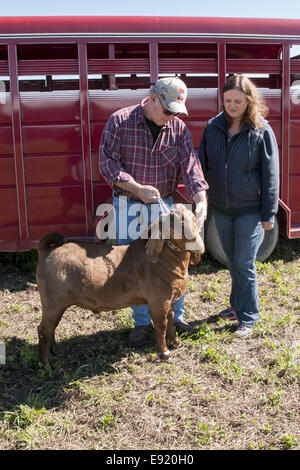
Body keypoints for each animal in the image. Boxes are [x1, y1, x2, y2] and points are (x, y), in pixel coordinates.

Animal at [35, 204, 204, 366]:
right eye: (176, 224)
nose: (196, 245)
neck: (164, 259)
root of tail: (46, 251)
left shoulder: (169, 298)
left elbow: (171, 319)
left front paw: (175, 342)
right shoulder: (158, 301)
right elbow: (161, 325)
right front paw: (164, 353)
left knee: (51, 328)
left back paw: (54, 349)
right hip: (53, 301)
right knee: (44, 330)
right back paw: (44, 363)